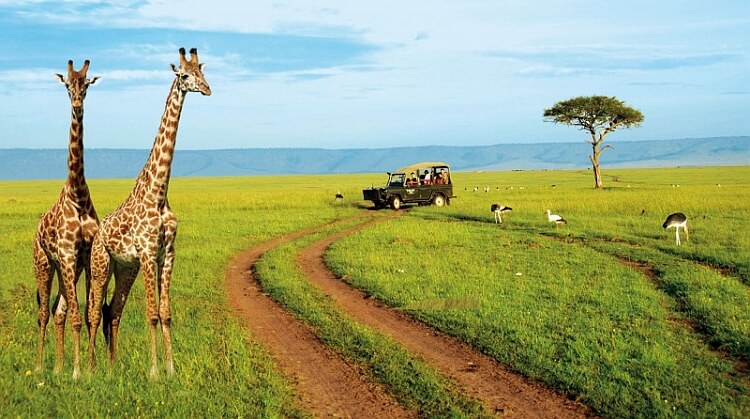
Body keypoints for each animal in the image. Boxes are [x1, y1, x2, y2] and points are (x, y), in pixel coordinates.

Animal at [87, 47, 212, 378]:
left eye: (203, 72)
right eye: (185, 75)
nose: (207, 89)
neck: (159, 194)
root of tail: (97, 233)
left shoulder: (166, 254)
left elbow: (166, 313)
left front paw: (171, 369)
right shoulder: (146, 254)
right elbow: (151, 313)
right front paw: (154, 372)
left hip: (124, 269)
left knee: (112, 310)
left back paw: (112, 368)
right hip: (101, 265)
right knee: (94, 310)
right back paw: (89, 369)